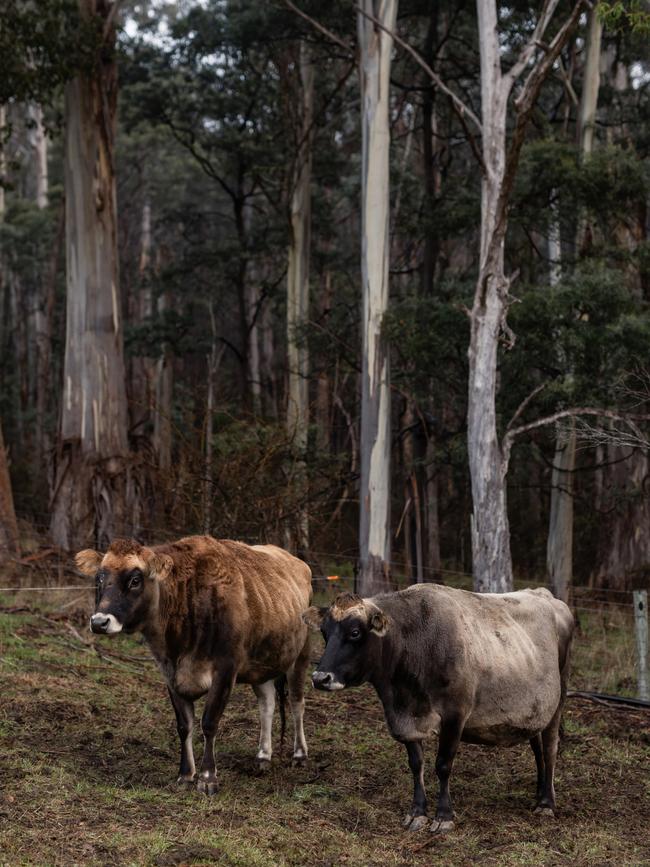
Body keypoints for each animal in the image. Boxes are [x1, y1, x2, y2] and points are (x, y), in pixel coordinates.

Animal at [74, 536, 310, 792]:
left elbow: (209, 722)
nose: (99, 622)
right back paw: (263, 756)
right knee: (267, 704)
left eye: (135, 580)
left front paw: (207, 778)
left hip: (301, 655)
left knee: (297, 703)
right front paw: (186, 775)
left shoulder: (225, 670)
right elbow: (184, 725)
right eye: (99, 578)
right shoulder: (169, 672)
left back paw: (300, 755)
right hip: (262, 664)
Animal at [302, 584, 568, 836]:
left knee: (550, 749)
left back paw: (547, 803)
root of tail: (545, 595)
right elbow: (415, 763)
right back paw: (539, 794)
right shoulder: (405, 721)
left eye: (355, 632)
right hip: (535, 711)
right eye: (325, 633)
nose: (320, 678)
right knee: (538, 749)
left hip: (558, 701)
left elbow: (442, 765)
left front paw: (443, 816)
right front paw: (417, 812)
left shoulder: (455, 715)